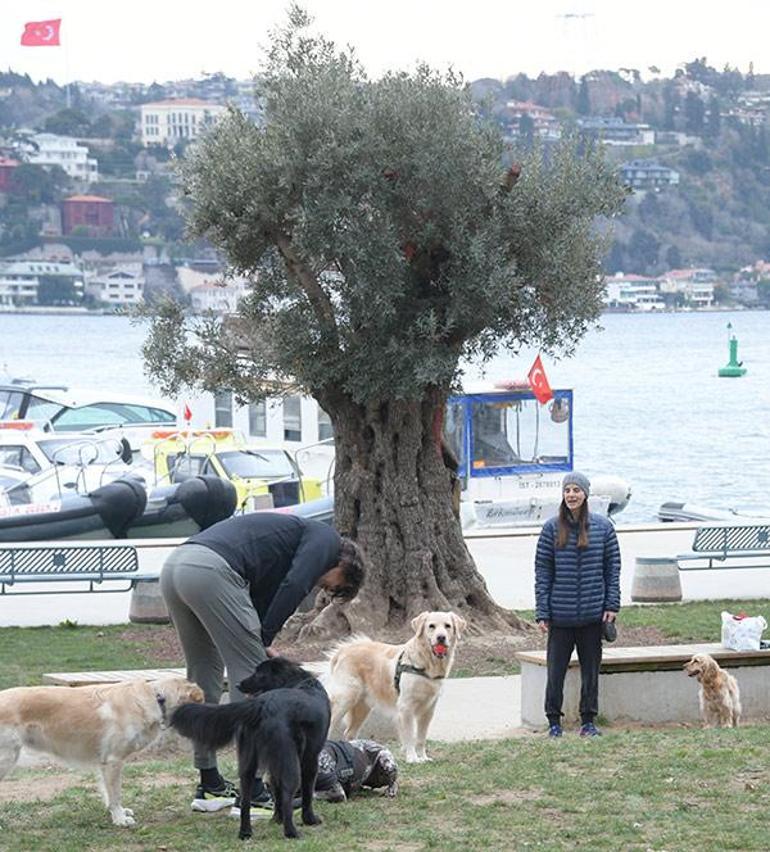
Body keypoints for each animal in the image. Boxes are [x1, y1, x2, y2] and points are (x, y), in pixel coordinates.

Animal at [0, 676, 202, 824]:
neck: (156, 699)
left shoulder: (105, 762)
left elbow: (108, 792)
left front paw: (116, 812)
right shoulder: (113, 760)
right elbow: (115, 794)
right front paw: (120, 819)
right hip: (6, 758)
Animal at [170, 656, 328, 844]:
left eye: (259, 674)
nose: (238, 684)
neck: (299, 681)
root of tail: (261, 704)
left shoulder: (274, 765)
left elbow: (275, 790)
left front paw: (276, 819)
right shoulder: (311, 758)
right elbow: (307, 793)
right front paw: (309, 819)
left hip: (248, 763)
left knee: (245, 801)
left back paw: (245, 833)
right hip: (290, 764)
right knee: (287, 796)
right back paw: (291, 832)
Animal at [322, 608, 464, 764]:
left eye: (447, 626)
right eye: (431, 626)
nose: (441, 637)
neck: (426, 663)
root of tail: (343, 650)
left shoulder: (428, 710)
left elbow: (421, 738)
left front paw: (423, 757)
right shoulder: (406, 707)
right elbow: (410, 735)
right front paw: (412, 758)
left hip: (362, 707)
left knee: (349, 733)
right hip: (346, 697)